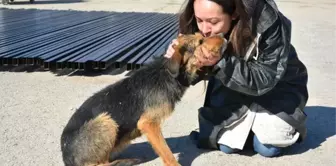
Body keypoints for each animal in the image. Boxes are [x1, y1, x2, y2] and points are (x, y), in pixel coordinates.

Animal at [60, 32, 226, 166]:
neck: (167, 74)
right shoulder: (148, 123)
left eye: (202, 36)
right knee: (98, 164)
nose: (223, 35)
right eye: (200, 41)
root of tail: (65, 155)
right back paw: (125, 162)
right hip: (106, 121)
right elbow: (166, 152)